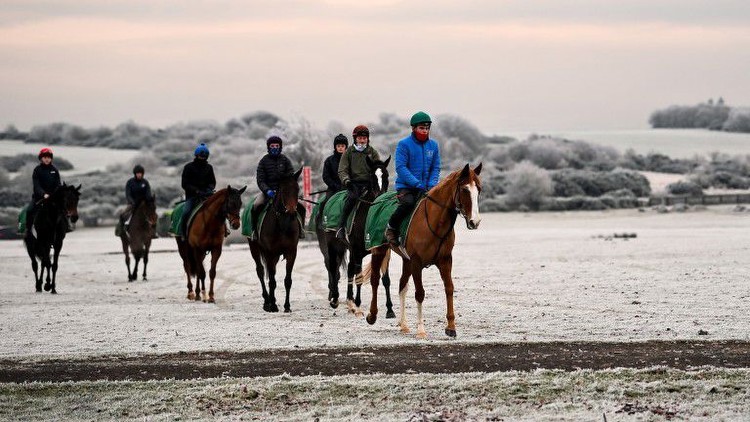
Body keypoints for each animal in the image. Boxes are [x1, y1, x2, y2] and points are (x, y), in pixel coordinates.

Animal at [318, 155, 400, 316]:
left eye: (386, 176)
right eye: (372, 177)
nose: (381, 198)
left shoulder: (381, 249)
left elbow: (385, 279)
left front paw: (389, 309)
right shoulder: (357, 251)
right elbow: (359, 276)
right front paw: (357, 303)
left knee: (348, 269)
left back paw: (349, 301)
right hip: (333, 244)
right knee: (333, 267)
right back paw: (335, 299)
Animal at [366, 163, 484, 338]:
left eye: (479, 189)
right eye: (464, 189)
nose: (474, 221)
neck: (435, 222)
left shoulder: (445, 260)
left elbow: (449, 288)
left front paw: (451, 327)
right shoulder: (416, 262)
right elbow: (420, 293)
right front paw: (421, 330)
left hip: (405, 260)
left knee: (402, 285)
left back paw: (404, 325)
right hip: (378, 250)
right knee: (375, 279)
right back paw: (372, 315)